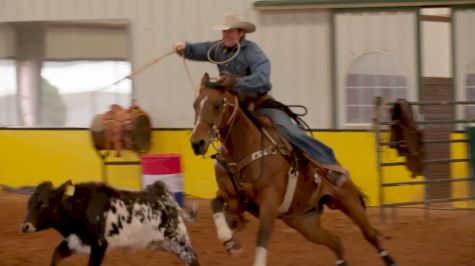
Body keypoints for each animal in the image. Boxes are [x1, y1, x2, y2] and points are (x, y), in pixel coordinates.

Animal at [20, 180, 199, 264]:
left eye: (43, 203)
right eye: (28, 203)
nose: (24, 226)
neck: (81, 206)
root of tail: (163, 193)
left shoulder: (99, 246)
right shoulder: (73, 242)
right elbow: (55, 256)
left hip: (178, 238)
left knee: (192, 258)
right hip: (164, 243)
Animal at [190, 73, 398, 266]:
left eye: (217, 105)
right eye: (195, 105)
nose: (197, 143)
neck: (246, 148)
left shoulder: (270, 202)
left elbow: (262, 237)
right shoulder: (232, 198)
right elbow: (215, 204)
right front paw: (230, 242)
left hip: (349, 201)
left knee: (370, 235)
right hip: (304, 222)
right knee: (336, 242)